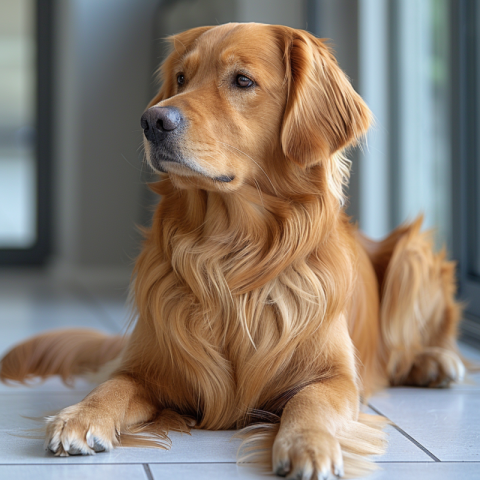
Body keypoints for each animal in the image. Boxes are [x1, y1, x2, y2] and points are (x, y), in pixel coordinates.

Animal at [0, 24, 464, 478]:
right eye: (181, 79)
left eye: (242, 80)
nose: (152, 120)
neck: (229, 253)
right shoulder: (147, 367)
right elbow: (113, 384)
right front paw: (80, 416)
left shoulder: (335, 378)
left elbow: (309, 401)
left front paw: (308, 444)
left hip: (411, 252)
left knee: (409, 346)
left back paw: (435, 362)